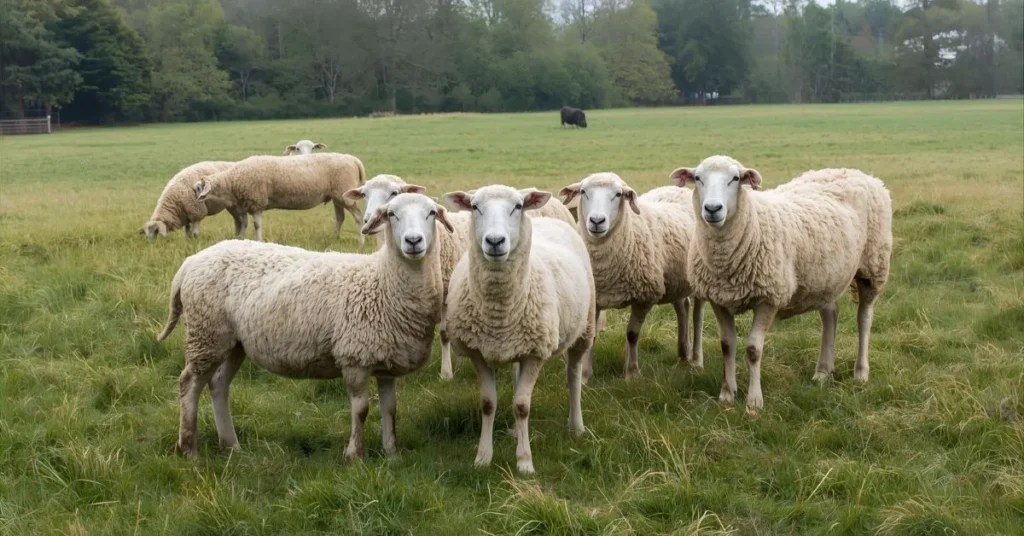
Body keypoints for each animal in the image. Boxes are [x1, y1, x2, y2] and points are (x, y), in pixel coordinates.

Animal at [155, 193, 455, 460]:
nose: (413, 241)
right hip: (206, 333)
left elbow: (391, 410)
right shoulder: (354, 358)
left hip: (233, 342)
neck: (382, 280)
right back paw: (189, 449)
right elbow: (361, 410)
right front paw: (355, 456)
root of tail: (190, 263)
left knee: (218, 384)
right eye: (392, 214)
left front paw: (392, 455)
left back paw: (231, 446)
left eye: (431, 213)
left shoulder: (386, 361)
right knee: (189, 384)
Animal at [193, 153, 366, 244]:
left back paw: (361, 242)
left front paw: (259, 241)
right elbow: (243, 224)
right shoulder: (247, 205)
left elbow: (257, 225)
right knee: (340, 217)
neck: (232, 181)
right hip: (337, 196)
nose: (195, 202)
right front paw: (241, 240)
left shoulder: (257, 202)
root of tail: (352, 159)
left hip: (345, 194)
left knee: (359, 217)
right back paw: (333, 239)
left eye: (197, 189)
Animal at [443, 185, 596, 474]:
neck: (499, 313)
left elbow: (523, 405)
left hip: (584, 327)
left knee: (572, 375)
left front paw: (524, 462)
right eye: (475, 207)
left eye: (517, 206)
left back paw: (576, 426)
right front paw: (483, 458)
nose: (494, 241)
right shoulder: (478, 352)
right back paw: (516, 430)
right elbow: (488, 404)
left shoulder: (536, 352)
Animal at [559, 173, 704, 383]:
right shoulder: (596, 298)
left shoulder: (645, 297)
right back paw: (683, 353)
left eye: (618, 194)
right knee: (682, 307)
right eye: (583, 191)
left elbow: (632, 334)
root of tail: (677, 189)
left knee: (698, 315)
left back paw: (696, 360)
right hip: (674, 279)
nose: (596, 221)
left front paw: (631, 373)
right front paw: (585, 376)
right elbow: (592, 337)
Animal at [669, 155, 892, 409]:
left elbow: (753, 349)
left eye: (735, 178)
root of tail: (859, 173)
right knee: (830, 315)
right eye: (698, 178)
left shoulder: (769, 298)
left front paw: (754, 401)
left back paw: (861, 372)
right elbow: (727, 345)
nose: (713, 209)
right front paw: (727, 394)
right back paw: (823, 372)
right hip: (825, 276)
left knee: (864, 318)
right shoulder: (720, 299)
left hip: (873, 265)